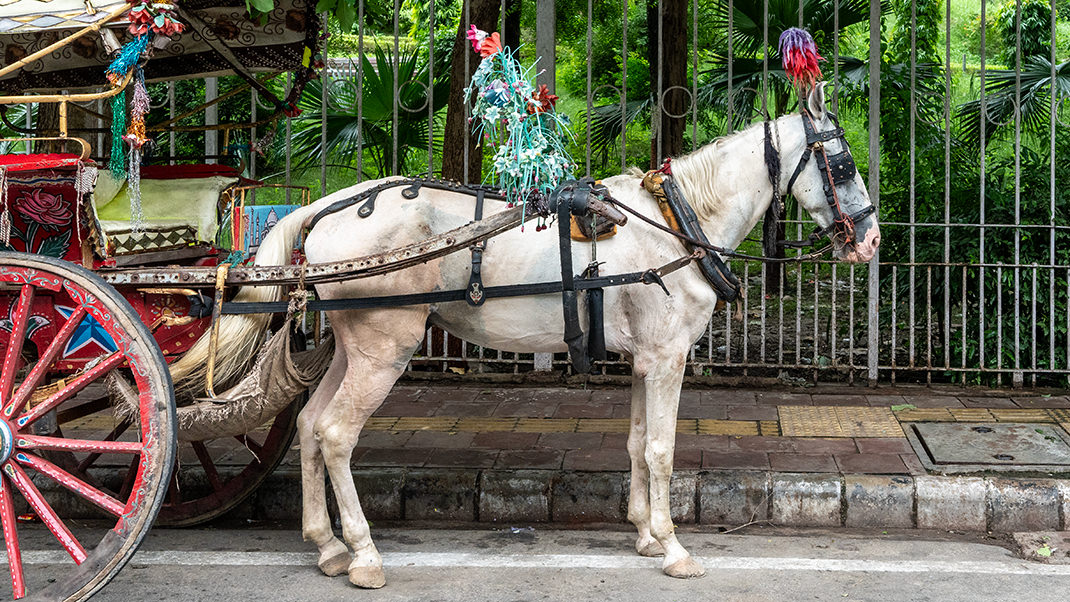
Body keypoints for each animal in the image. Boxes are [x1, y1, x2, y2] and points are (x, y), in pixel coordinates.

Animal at [196, 82, 881, 585]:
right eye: (843, 163)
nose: (872, 241)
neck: (674, 221)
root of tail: (323, 208)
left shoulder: (645, 361)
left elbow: (637, 444)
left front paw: (643, 534)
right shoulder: (667, 358)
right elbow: (661, 450)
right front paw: (673, 547)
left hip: (354, 347)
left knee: (311, 426)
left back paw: (326, 544)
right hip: (384, 348)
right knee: (337, 433)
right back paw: (363, 554)